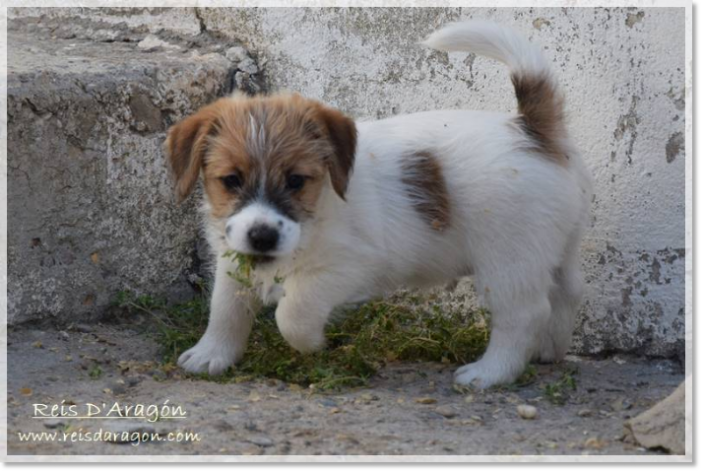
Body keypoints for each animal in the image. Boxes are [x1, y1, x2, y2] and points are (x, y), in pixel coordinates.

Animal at [165, 20, 592, 388]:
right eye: (231, 180)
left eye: (296, 181)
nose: (262, 236)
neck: (320, 210)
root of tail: (532, 132)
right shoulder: (233, 260)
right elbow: (226, 309)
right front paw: (212, 354)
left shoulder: (350, 267)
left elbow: (293, 312)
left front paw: (312, 344)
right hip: (555, 246)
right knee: (566, 292)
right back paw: (547, 350)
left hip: (509, 262)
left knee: (523, 314)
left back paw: (491, 372)